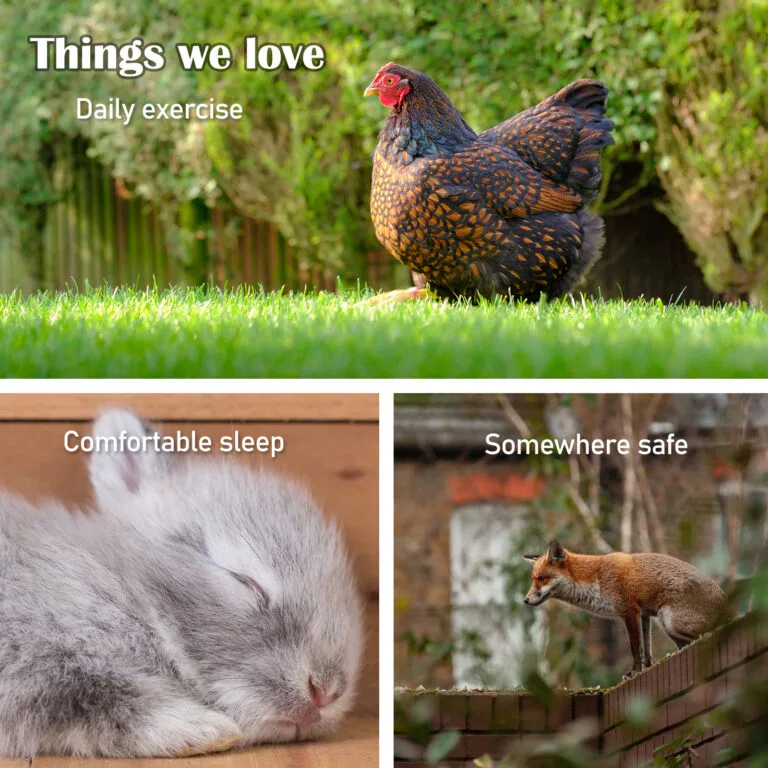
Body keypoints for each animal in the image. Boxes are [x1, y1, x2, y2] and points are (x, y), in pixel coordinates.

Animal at [0, 409, 364, 758]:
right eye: (245, 581)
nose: (325, 692)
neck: (129, 583)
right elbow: (89, 689)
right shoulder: (30, 651)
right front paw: (204, 729)